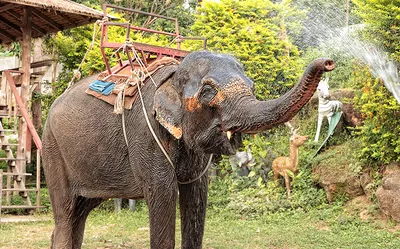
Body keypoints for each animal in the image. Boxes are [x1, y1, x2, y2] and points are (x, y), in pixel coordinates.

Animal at [41, 49, 334, 248]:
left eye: (251, 86)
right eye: (208, 92)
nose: (328, 62)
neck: (173, 76)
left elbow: (196, 194)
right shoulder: (146, 134)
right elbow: (164, 191)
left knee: (79, 213)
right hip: (52, 150)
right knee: (66, 212)